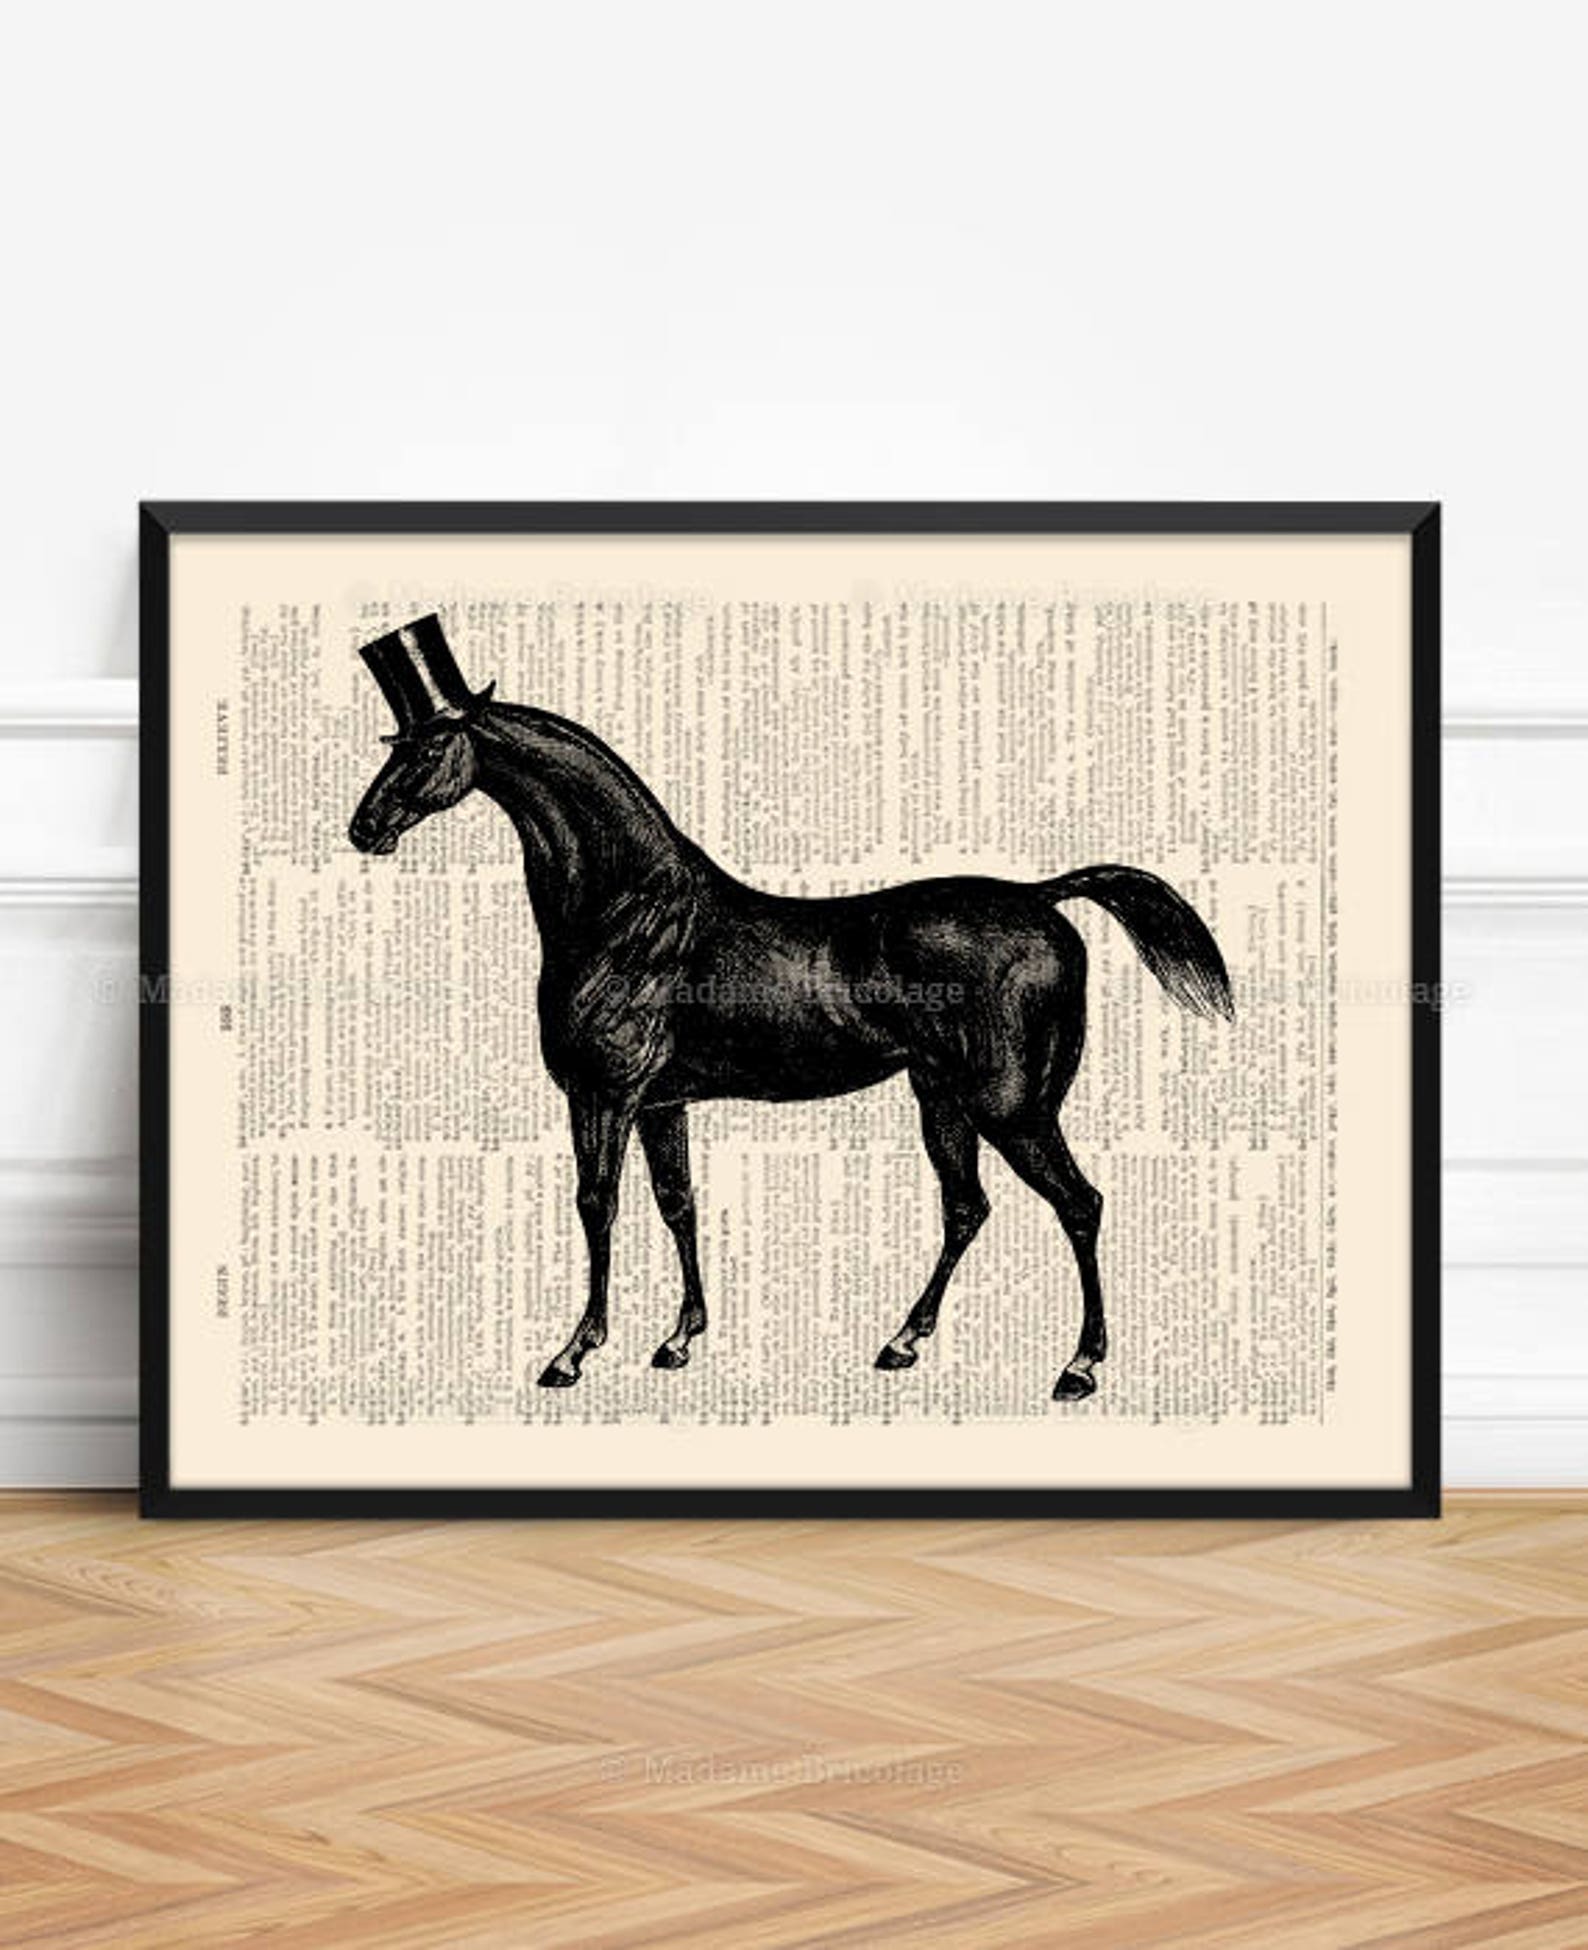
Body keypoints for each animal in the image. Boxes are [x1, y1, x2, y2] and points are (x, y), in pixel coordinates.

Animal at [348, 617, 1233, 1405]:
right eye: (393, 743)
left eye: (427, 745)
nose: (364, 828)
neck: (628, 911)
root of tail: (1040, 899)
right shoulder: (661, 1104)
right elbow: (677, 1204)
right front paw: (678, 1339)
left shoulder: (603, 1096)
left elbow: (598, 1206)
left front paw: (572, 1353)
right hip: (942, 1098)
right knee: (966, 1207)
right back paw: (903, 1341)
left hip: (1011, 1107)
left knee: (1079, 1204)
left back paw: (1078, 1367)